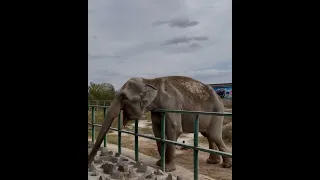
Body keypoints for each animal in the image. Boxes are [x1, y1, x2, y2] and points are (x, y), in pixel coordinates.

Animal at [88, 75, 232, 172]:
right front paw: (159, 163)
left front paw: (168, 169)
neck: (150, 81)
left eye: (123, 97)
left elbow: (174, 129)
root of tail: (220, 98)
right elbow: (157, 131)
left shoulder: (172, 104)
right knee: (208, 134)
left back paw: (226, 165)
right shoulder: (156, 110)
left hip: (217, 112)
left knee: (214, 135)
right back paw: (212, 162)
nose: (90, 165)